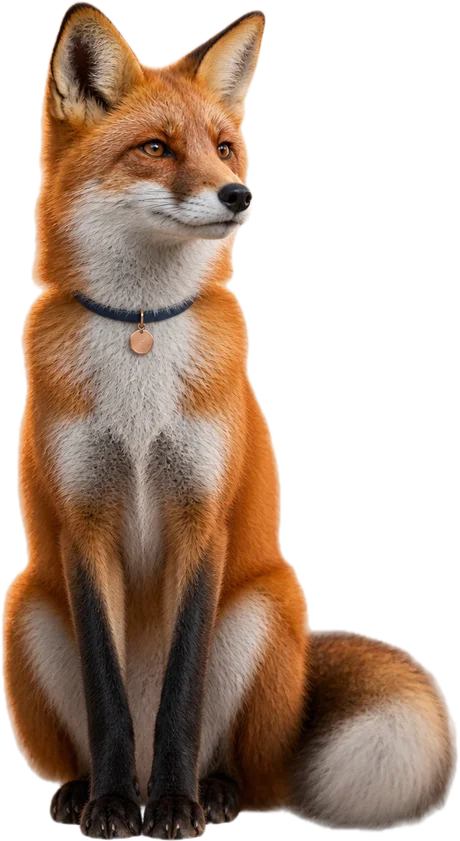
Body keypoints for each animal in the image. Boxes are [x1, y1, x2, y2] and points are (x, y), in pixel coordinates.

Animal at [2, 2, 457, 839]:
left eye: (222, 146)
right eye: (155, 148)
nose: (238, 194)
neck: (140, 335)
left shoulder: (201, 517)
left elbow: (181, 695)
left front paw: (175, 808)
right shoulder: (83, 525)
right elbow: (108, 697)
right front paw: (112, 807)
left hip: (261, 607)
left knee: (254, 777)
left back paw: (206, 791)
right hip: (29, 606)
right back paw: (90, 790)